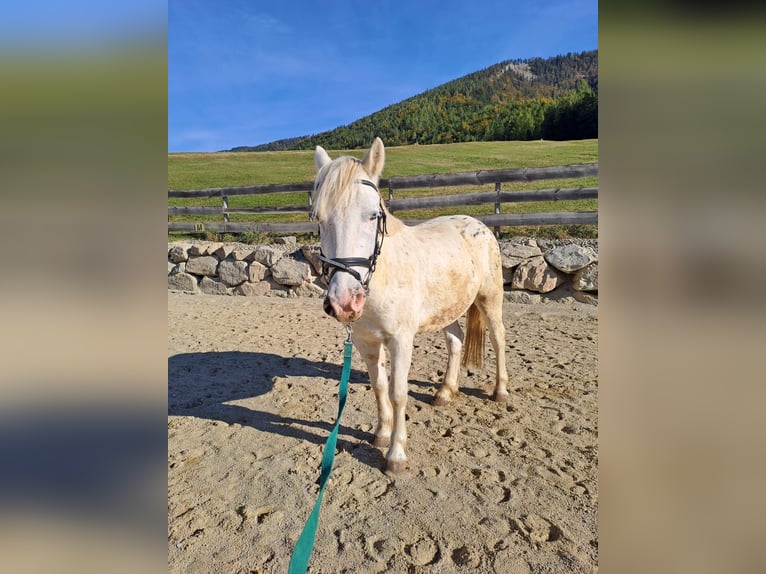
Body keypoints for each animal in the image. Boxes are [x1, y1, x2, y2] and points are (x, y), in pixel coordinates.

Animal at [312, 137, 510, 474]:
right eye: (320, 218)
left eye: (373, 215)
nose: (344, 302)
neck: (382, 278)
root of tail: (477, 224)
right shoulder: (365, 342)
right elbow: (379, 386)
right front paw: (381, 434)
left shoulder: (401, 341)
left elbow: (398, 393)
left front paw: (395, 454)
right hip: (447, 309)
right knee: (455, 341)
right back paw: (445, 392)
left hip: (490, 298)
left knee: (498, 339)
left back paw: (500, 391)